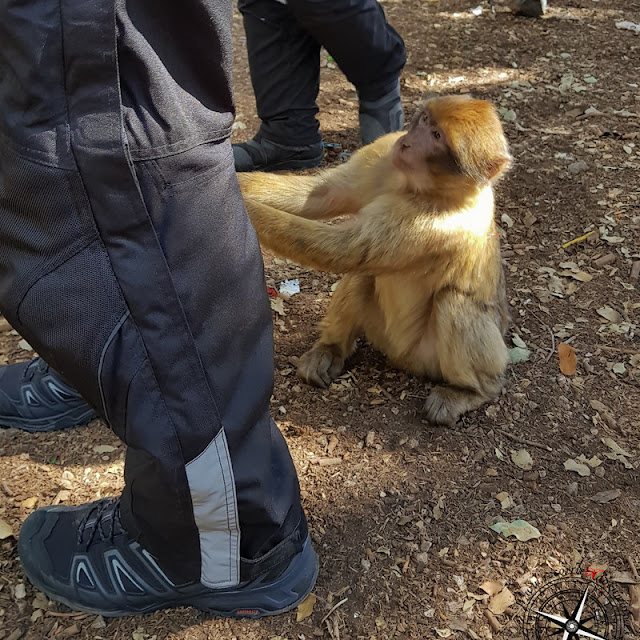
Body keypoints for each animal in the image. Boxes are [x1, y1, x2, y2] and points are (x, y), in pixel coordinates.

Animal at [238, 94, 512, 424]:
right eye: (425, 122)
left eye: (437, 137)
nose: (408, 143)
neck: (422, 187)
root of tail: (400, 360)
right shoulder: (385, 151)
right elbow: (320, 195)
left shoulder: (433, 222)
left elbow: (344, 249)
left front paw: (245, 207)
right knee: (363, 274)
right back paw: (331, 349)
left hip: (430, 358)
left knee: (451, 300)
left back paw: (473, 391)